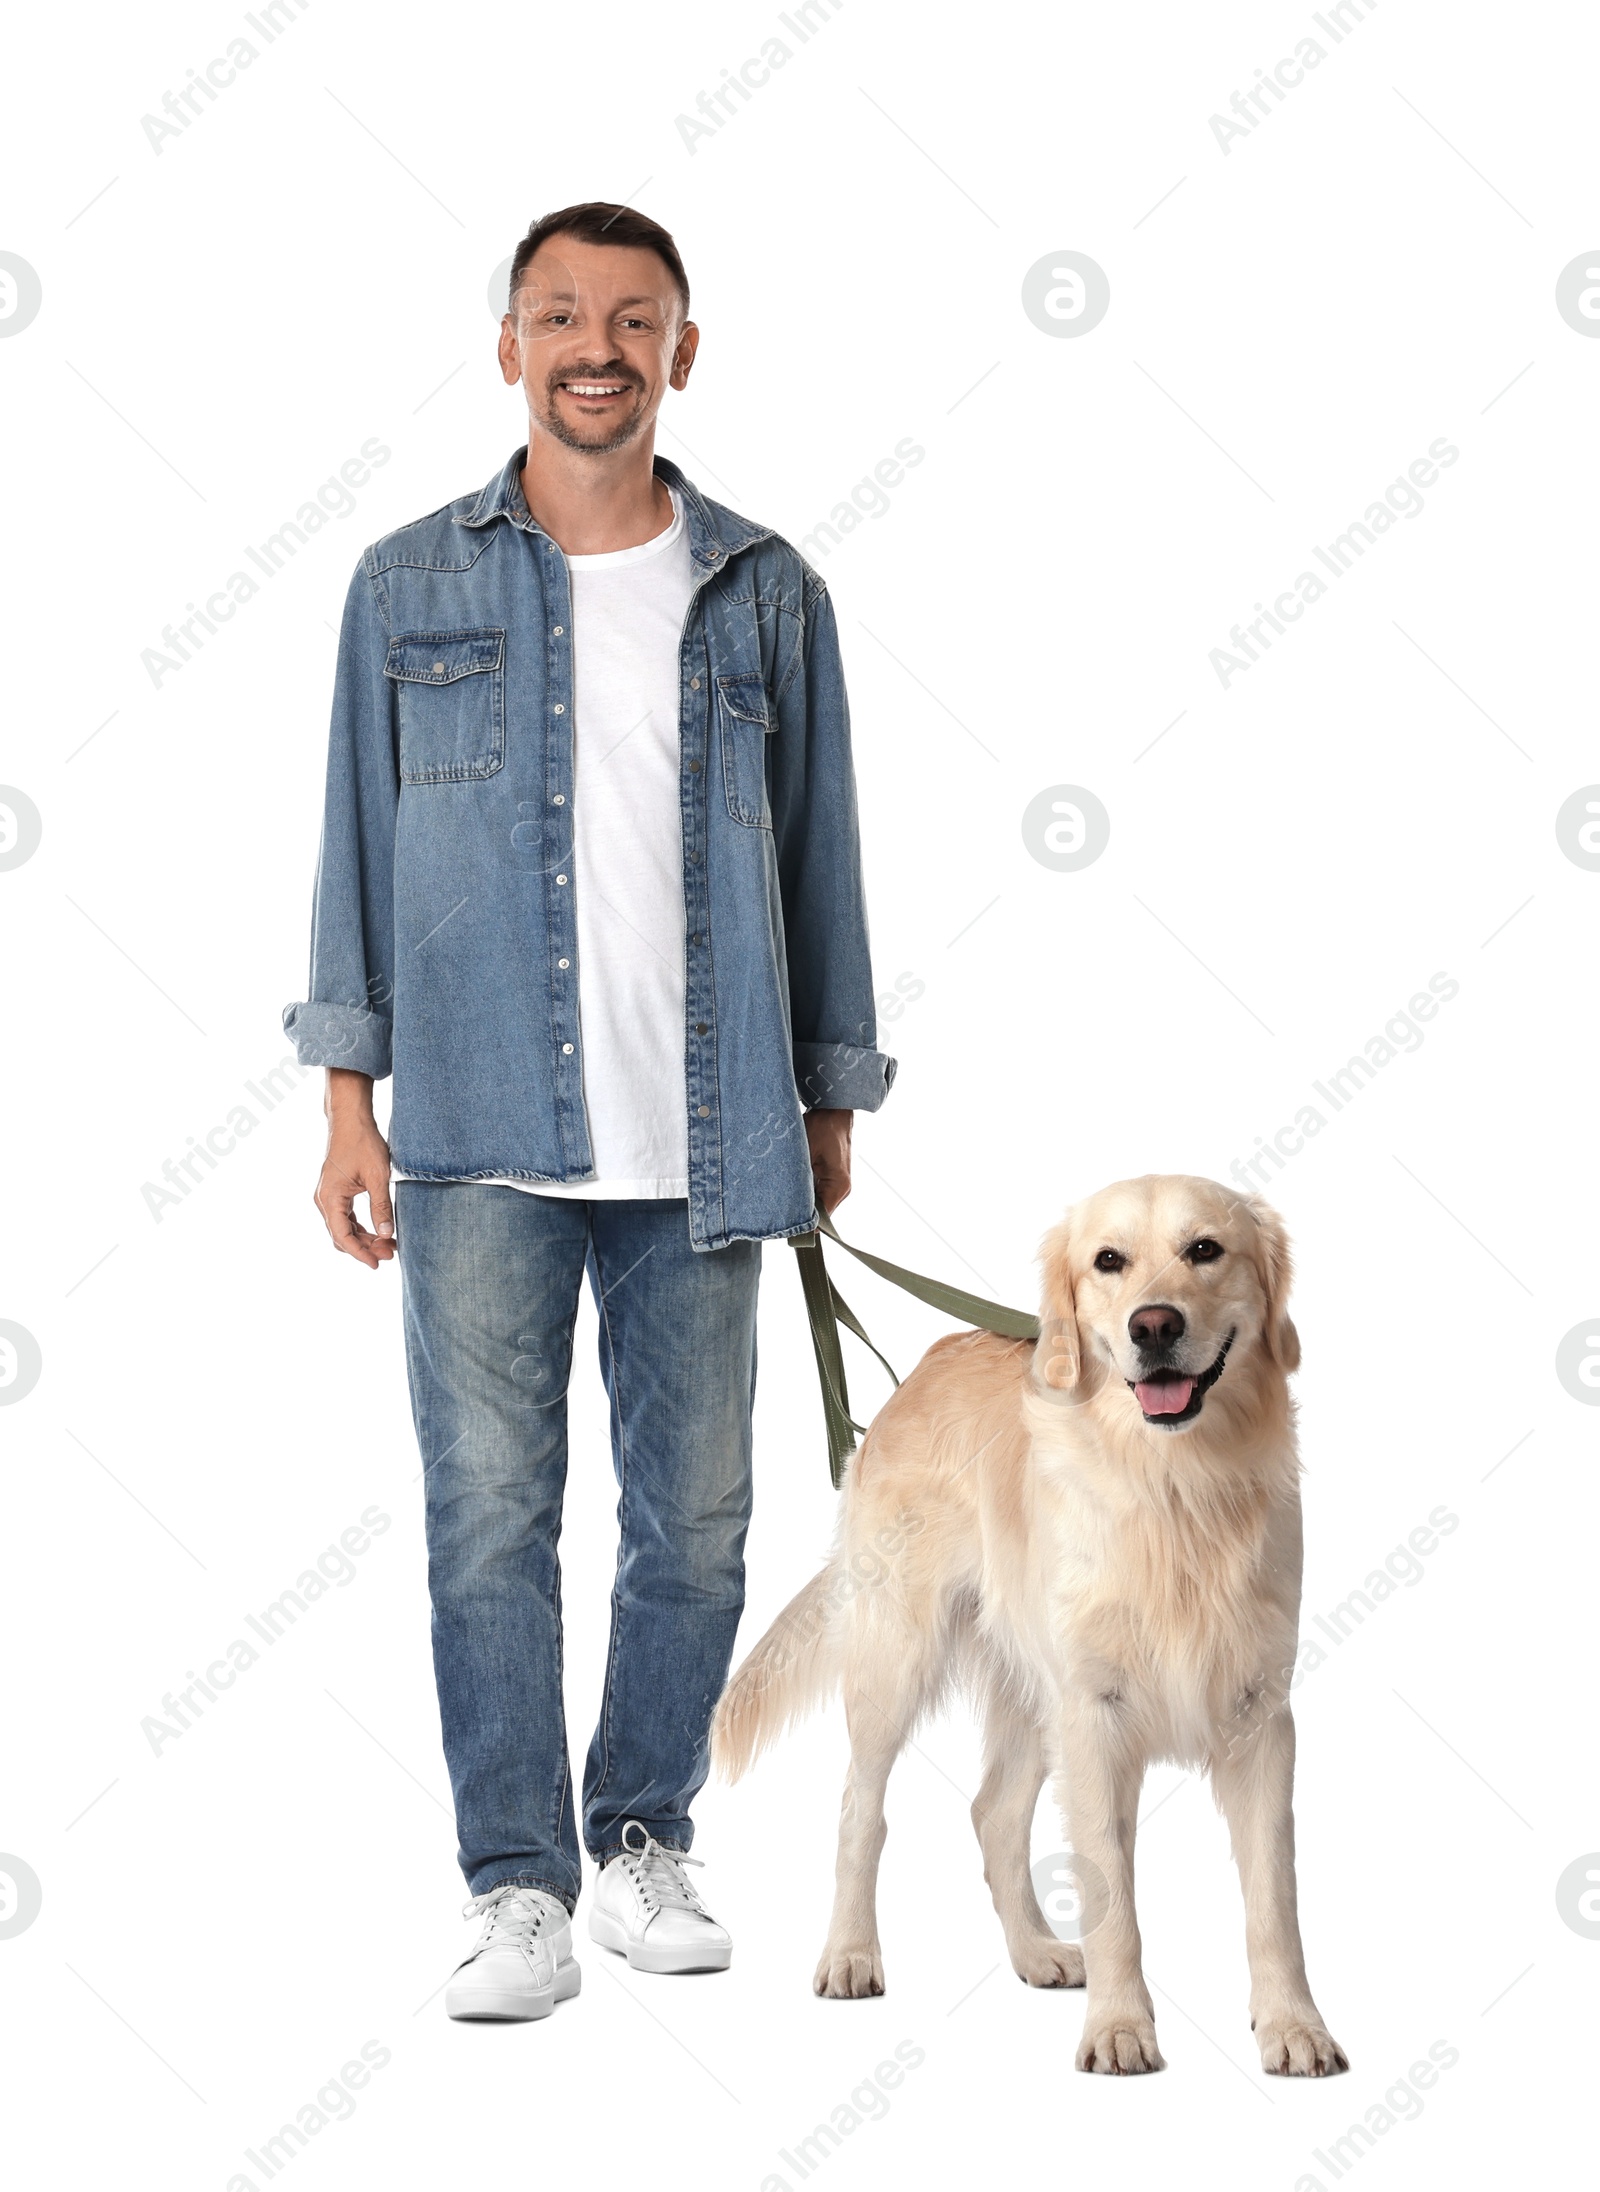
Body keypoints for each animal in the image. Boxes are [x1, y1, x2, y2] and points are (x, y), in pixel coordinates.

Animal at [710, 1174, 1350, 2078]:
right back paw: (850, 1954)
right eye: (1108, 1261)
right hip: (897, 1660)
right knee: (859, 1811)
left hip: (1029, 1691)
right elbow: (1111, 1891)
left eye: (1205, 1249)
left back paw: (1036, 1952)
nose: (1155, 1326)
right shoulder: (1094, 1712)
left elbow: (1274, 1897)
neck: (1175, 1485)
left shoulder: (1259, 1714)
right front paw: (1119, 2028)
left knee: (992, 1813)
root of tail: (911, 1381)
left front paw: (1293, 2025)